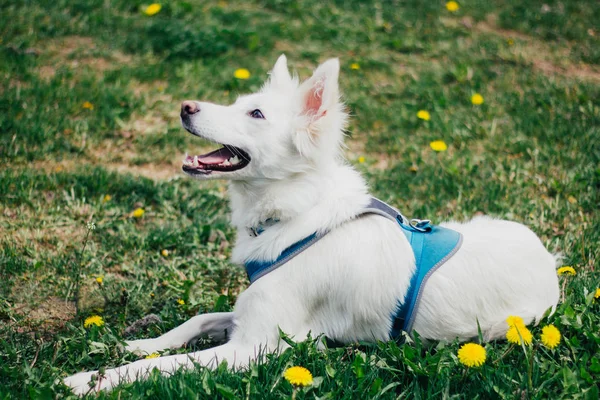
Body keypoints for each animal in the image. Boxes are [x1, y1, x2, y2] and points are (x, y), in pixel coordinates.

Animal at [63, 55, 560, 394]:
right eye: (238, 103)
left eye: (256, 114)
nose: (185, 106)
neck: (295, 215)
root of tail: (551, 262)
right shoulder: (249, 316)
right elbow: (196, 320)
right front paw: (138, 343)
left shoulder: (254, 347)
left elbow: (165, 366)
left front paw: (91, 379)